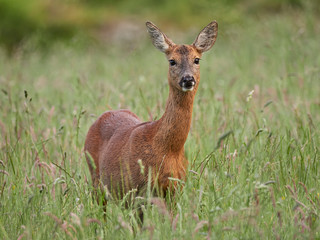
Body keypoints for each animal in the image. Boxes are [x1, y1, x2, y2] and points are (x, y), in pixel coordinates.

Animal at [84, 20, 218, 200]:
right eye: (172, 61)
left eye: (197, 60)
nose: (188, 79)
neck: (167, 149)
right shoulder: (136, 188)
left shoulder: (175, 189)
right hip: (96, 179)